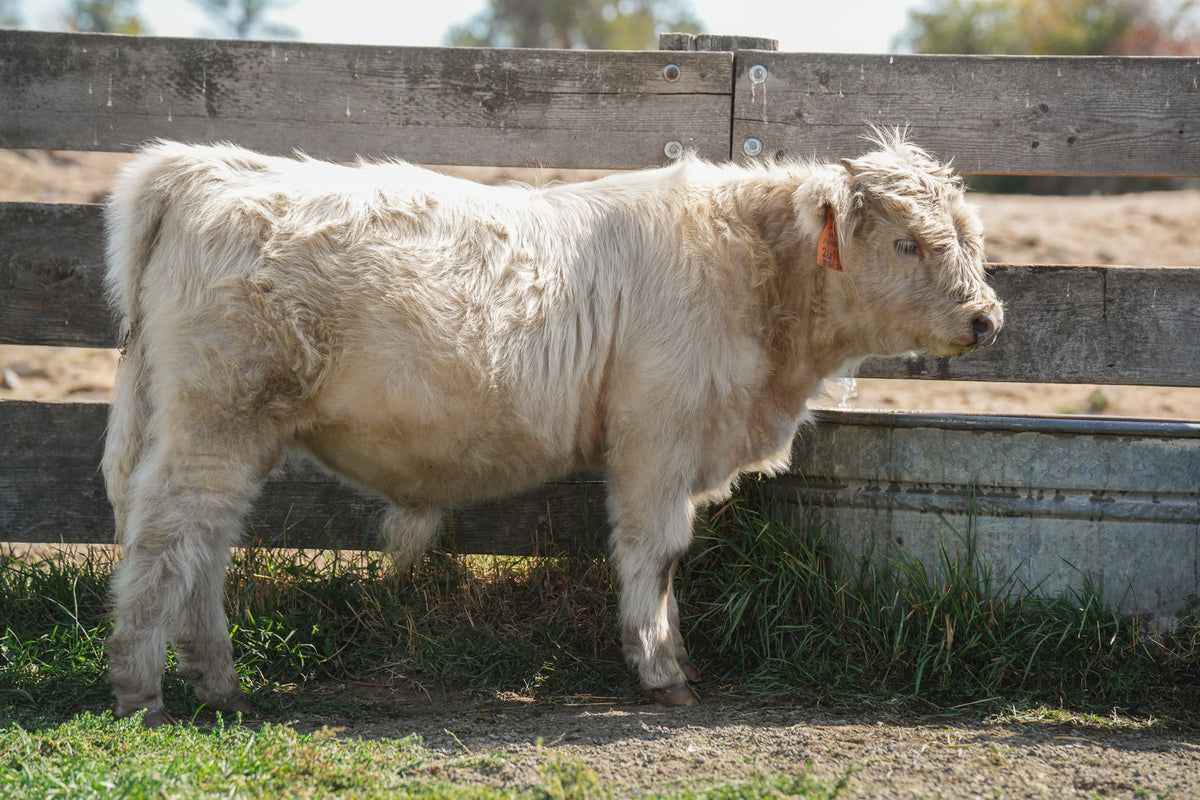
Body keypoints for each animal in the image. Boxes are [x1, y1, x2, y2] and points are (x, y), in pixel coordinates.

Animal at [101, 130, 1002, 726]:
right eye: (906, 242)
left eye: (968, 237)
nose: (987, 319)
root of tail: (213, 166)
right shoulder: (656, 444)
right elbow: (655, 556)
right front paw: (661, 669)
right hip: (215, 423)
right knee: (164, 540)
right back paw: (141, 691)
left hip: (230, 435)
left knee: (204, 547)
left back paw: (218, 682)